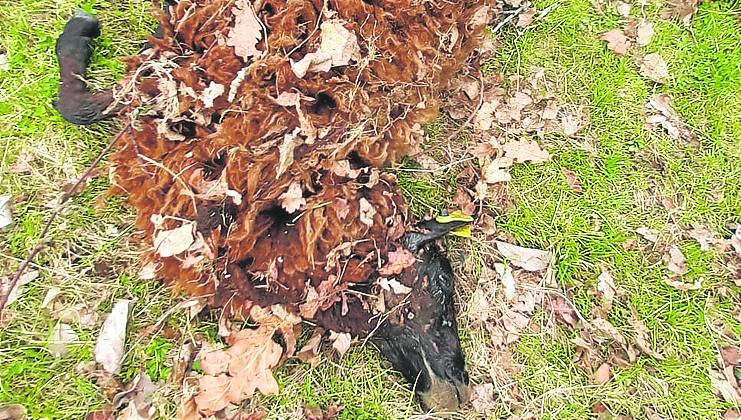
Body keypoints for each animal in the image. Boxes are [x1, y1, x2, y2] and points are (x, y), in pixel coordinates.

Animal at [54, 0, 491, 412]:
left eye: (443, 283)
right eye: (369, 334)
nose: (445, 401)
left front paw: (80, 31)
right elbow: (87, 106)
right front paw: (81, 33)